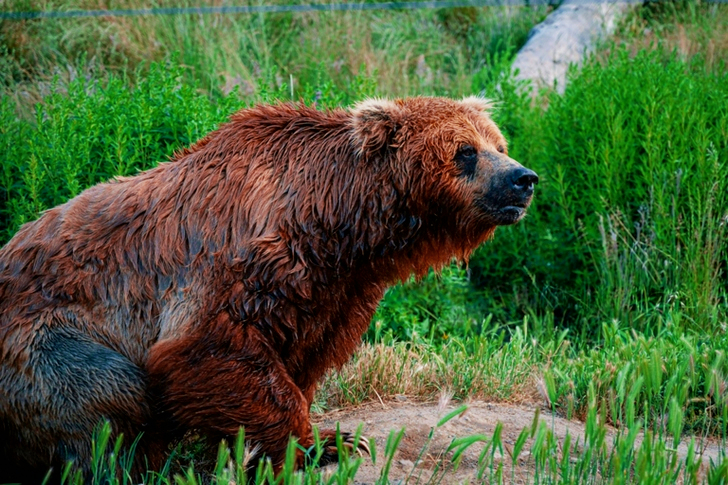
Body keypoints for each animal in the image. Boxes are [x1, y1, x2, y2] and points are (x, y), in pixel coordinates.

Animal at [0, 96, 538, 479]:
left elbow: (301, 359)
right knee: (107, 391)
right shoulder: (240, 260)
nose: (523, 178)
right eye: (464, 152)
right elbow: (210, 348)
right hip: (43, 341)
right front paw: (323, 445)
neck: (339, 224)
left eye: (498, 144)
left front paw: (307, 443)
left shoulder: (336, 291)